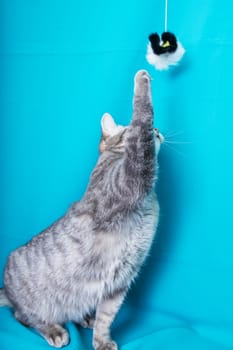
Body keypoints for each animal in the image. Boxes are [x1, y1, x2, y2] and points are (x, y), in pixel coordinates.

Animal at [0, 69, 164, 348]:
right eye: (129, 128)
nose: (158, 129)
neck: (149, 197)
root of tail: (7, 291)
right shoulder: (134, 172)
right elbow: (141, 118)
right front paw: (141, 81)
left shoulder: (117, 285)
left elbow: (106, 318)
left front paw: (101, 339)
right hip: (32, 304)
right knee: (22, 316)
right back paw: (53, 329)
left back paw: (85, 317)